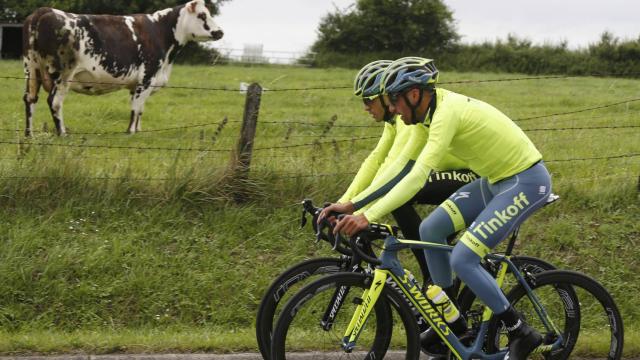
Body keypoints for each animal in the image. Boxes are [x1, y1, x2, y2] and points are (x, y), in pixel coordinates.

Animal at [22, 0, 224, 136]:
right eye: (202, 15)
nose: (220, 32)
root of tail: (45, 10)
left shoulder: (141, 83)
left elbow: (140, 109)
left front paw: (138, 130)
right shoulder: (146, 77)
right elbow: (136, 107)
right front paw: (131, 132)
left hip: (31, 70)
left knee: (30, 99)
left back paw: (29, 135)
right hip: (63, 74)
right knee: (54, 101)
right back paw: (62, 133)